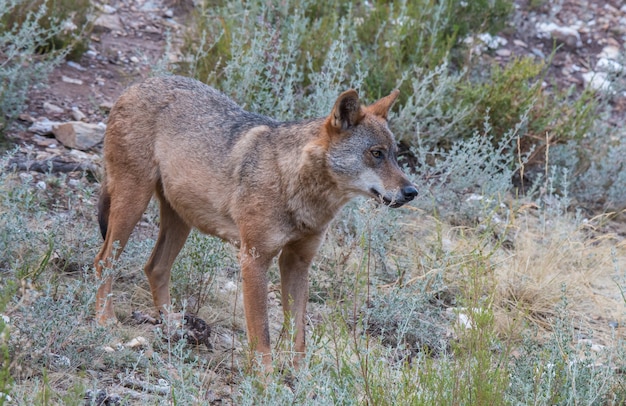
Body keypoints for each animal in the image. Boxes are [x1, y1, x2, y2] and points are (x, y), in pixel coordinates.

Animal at [94, 75, 414, 368]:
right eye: (376, 154)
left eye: (395, 156)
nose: (412, 192)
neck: (291, 183)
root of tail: (138, 84)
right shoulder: (254, 259)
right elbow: (262, 336)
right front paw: (266, 381)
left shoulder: (297, 262)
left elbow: (298, 334)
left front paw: (301, 379)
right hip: (132, 205)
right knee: (103, 261)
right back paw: (105, 320)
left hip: (180, 221)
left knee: (155, 267)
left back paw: (174, 327)